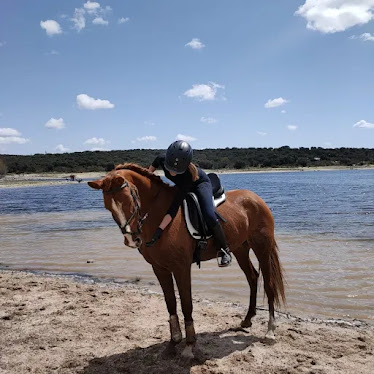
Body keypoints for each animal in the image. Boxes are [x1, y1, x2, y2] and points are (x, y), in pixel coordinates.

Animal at [88, 163, 286, 360]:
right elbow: (170, 303)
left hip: (262, 247)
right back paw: (247, 319)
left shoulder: (181, 267)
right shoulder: (159, 268)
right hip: (240, 248)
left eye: (129, 199)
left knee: (268, 284)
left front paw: (189, 345)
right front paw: (173, 342)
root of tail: (255, 198)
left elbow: (186, 303)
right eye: (108, 207)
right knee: (252, 277)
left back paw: (270, 331)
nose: (132, 240)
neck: (161, 217)